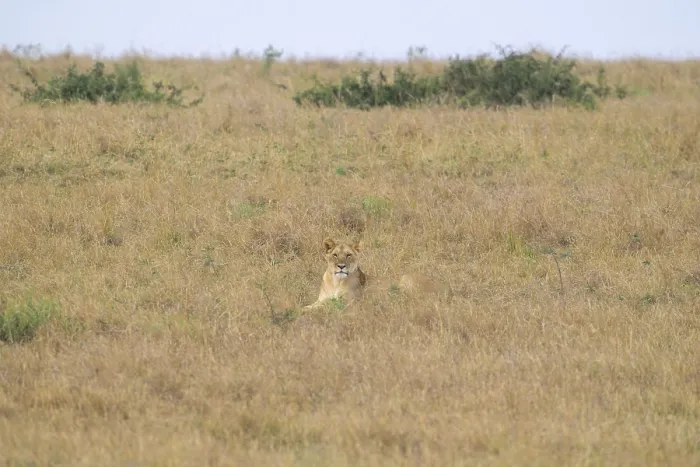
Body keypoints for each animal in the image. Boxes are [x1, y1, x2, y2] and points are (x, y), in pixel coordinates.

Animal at [303, 237, 450, 309]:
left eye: (348, 255)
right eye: (335, 255)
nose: (341, 266)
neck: (336, 281)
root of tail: (445, 288)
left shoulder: (351, 301)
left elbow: (327, 305)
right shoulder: (320, 299)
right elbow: (313, 305)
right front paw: (303, 308)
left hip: (407, 280)